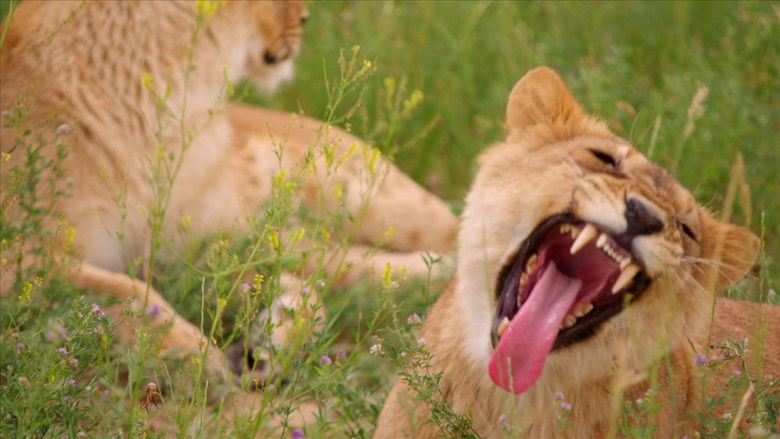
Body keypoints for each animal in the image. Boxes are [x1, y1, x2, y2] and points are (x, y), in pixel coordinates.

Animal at [0, 1, 457, 384]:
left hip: (375, 202)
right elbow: (123, 289)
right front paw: (201, 357)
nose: (305, 18)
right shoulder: (25, 256)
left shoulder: (194, 249)